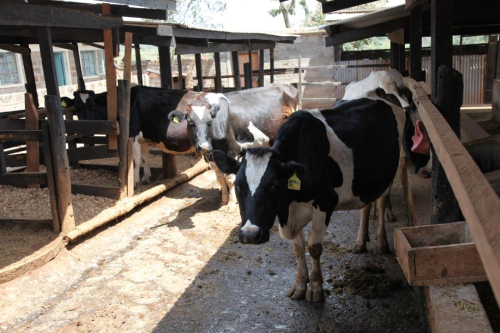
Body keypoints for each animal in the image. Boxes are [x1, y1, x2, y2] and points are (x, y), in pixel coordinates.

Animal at [170, 82, 298, 208]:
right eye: (190, 122)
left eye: (209, 122)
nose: (204, 146)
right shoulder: (212, 157)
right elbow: (220, 178)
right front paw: (224, 200)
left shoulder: (232, 150)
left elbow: (230, 178)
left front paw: (232, 203)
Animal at [211, 92, 402, 302]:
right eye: (238, 186)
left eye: (274, 185)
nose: (250, 235)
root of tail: (376, 96)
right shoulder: (289, 211)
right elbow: (298, 248)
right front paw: (300, 285)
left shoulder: (325, 203)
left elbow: (314, 247)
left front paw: (316, 288)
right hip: (365, 182)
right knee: (366, 206)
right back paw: (360, 242)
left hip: (390, 173)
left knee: (382, 202)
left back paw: (381, 242)